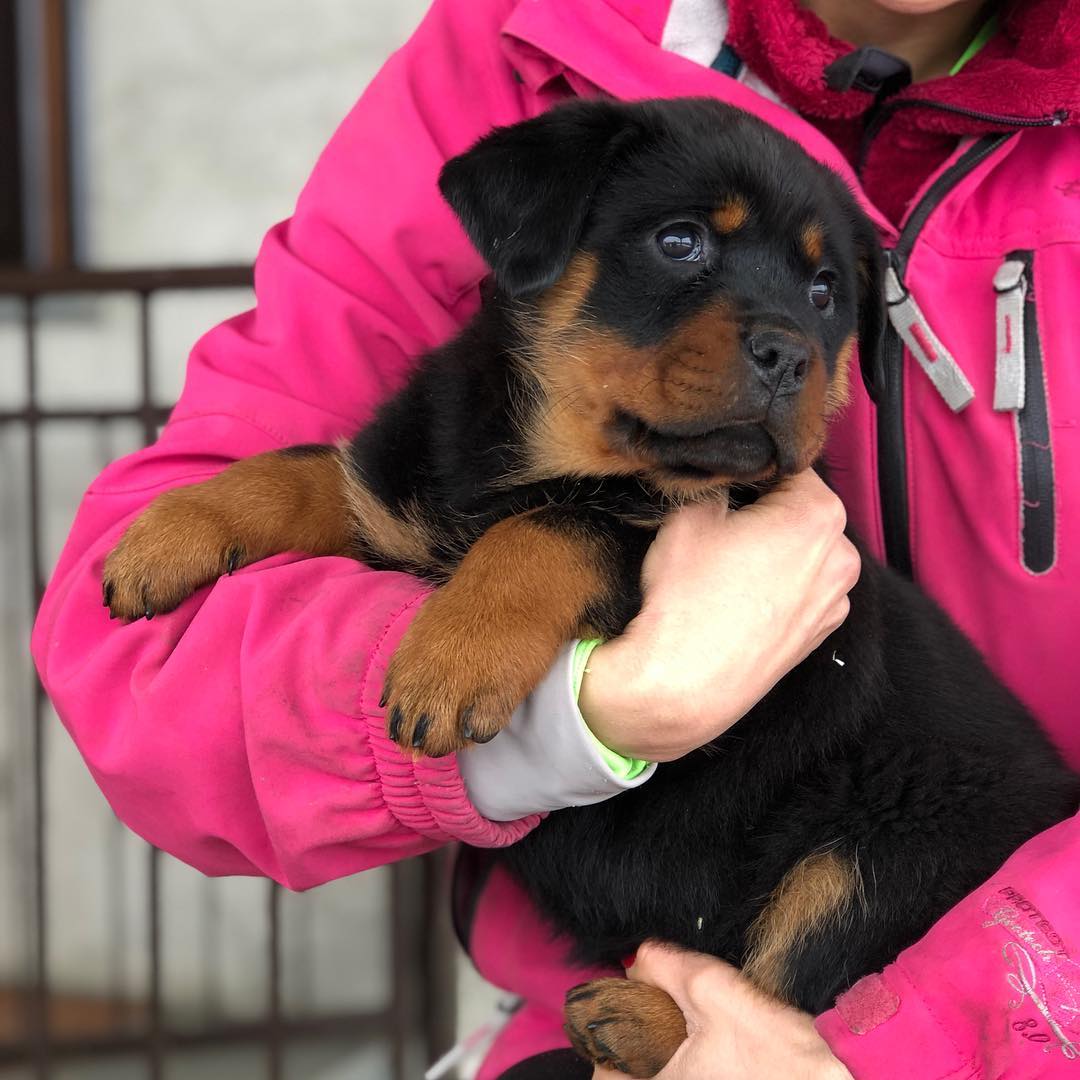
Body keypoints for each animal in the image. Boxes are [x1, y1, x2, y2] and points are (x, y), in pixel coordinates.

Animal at [103, 97, 1080, 1075]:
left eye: (824, 292)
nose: (792, 354)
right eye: (681, 241)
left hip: (886, 847)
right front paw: (162, 532)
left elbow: (550, 528)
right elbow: (310, 470)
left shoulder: (644, 529)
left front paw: (450, 658)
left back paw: (638, 1018)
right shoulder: (404, 495)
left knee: (797, 990)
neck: (549, 457)